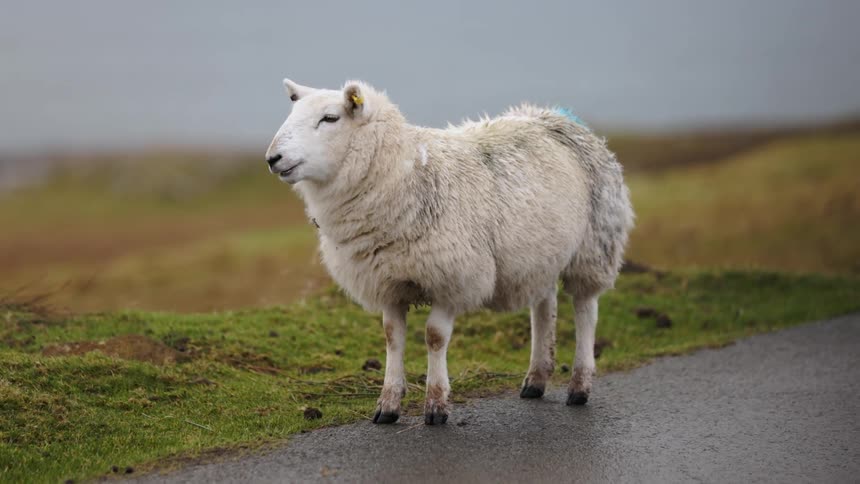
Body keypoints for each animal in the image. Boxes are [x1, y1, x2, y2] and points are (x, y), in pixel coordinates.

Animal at [265, 79, 634, 425]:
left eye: (330, 118)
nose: (272, 158)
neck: (407, 175)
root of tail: (555, 115)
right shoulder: (388, 280)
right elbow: (392, 337)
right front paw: (387, 405)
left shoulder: (451, 277)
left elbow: (434, 337)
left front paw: (436, 404)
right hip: (540, 254)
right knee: (544, 307)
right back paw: (536, 379)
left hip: (594, 246)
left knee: (585, 310)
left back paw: (579, 386)